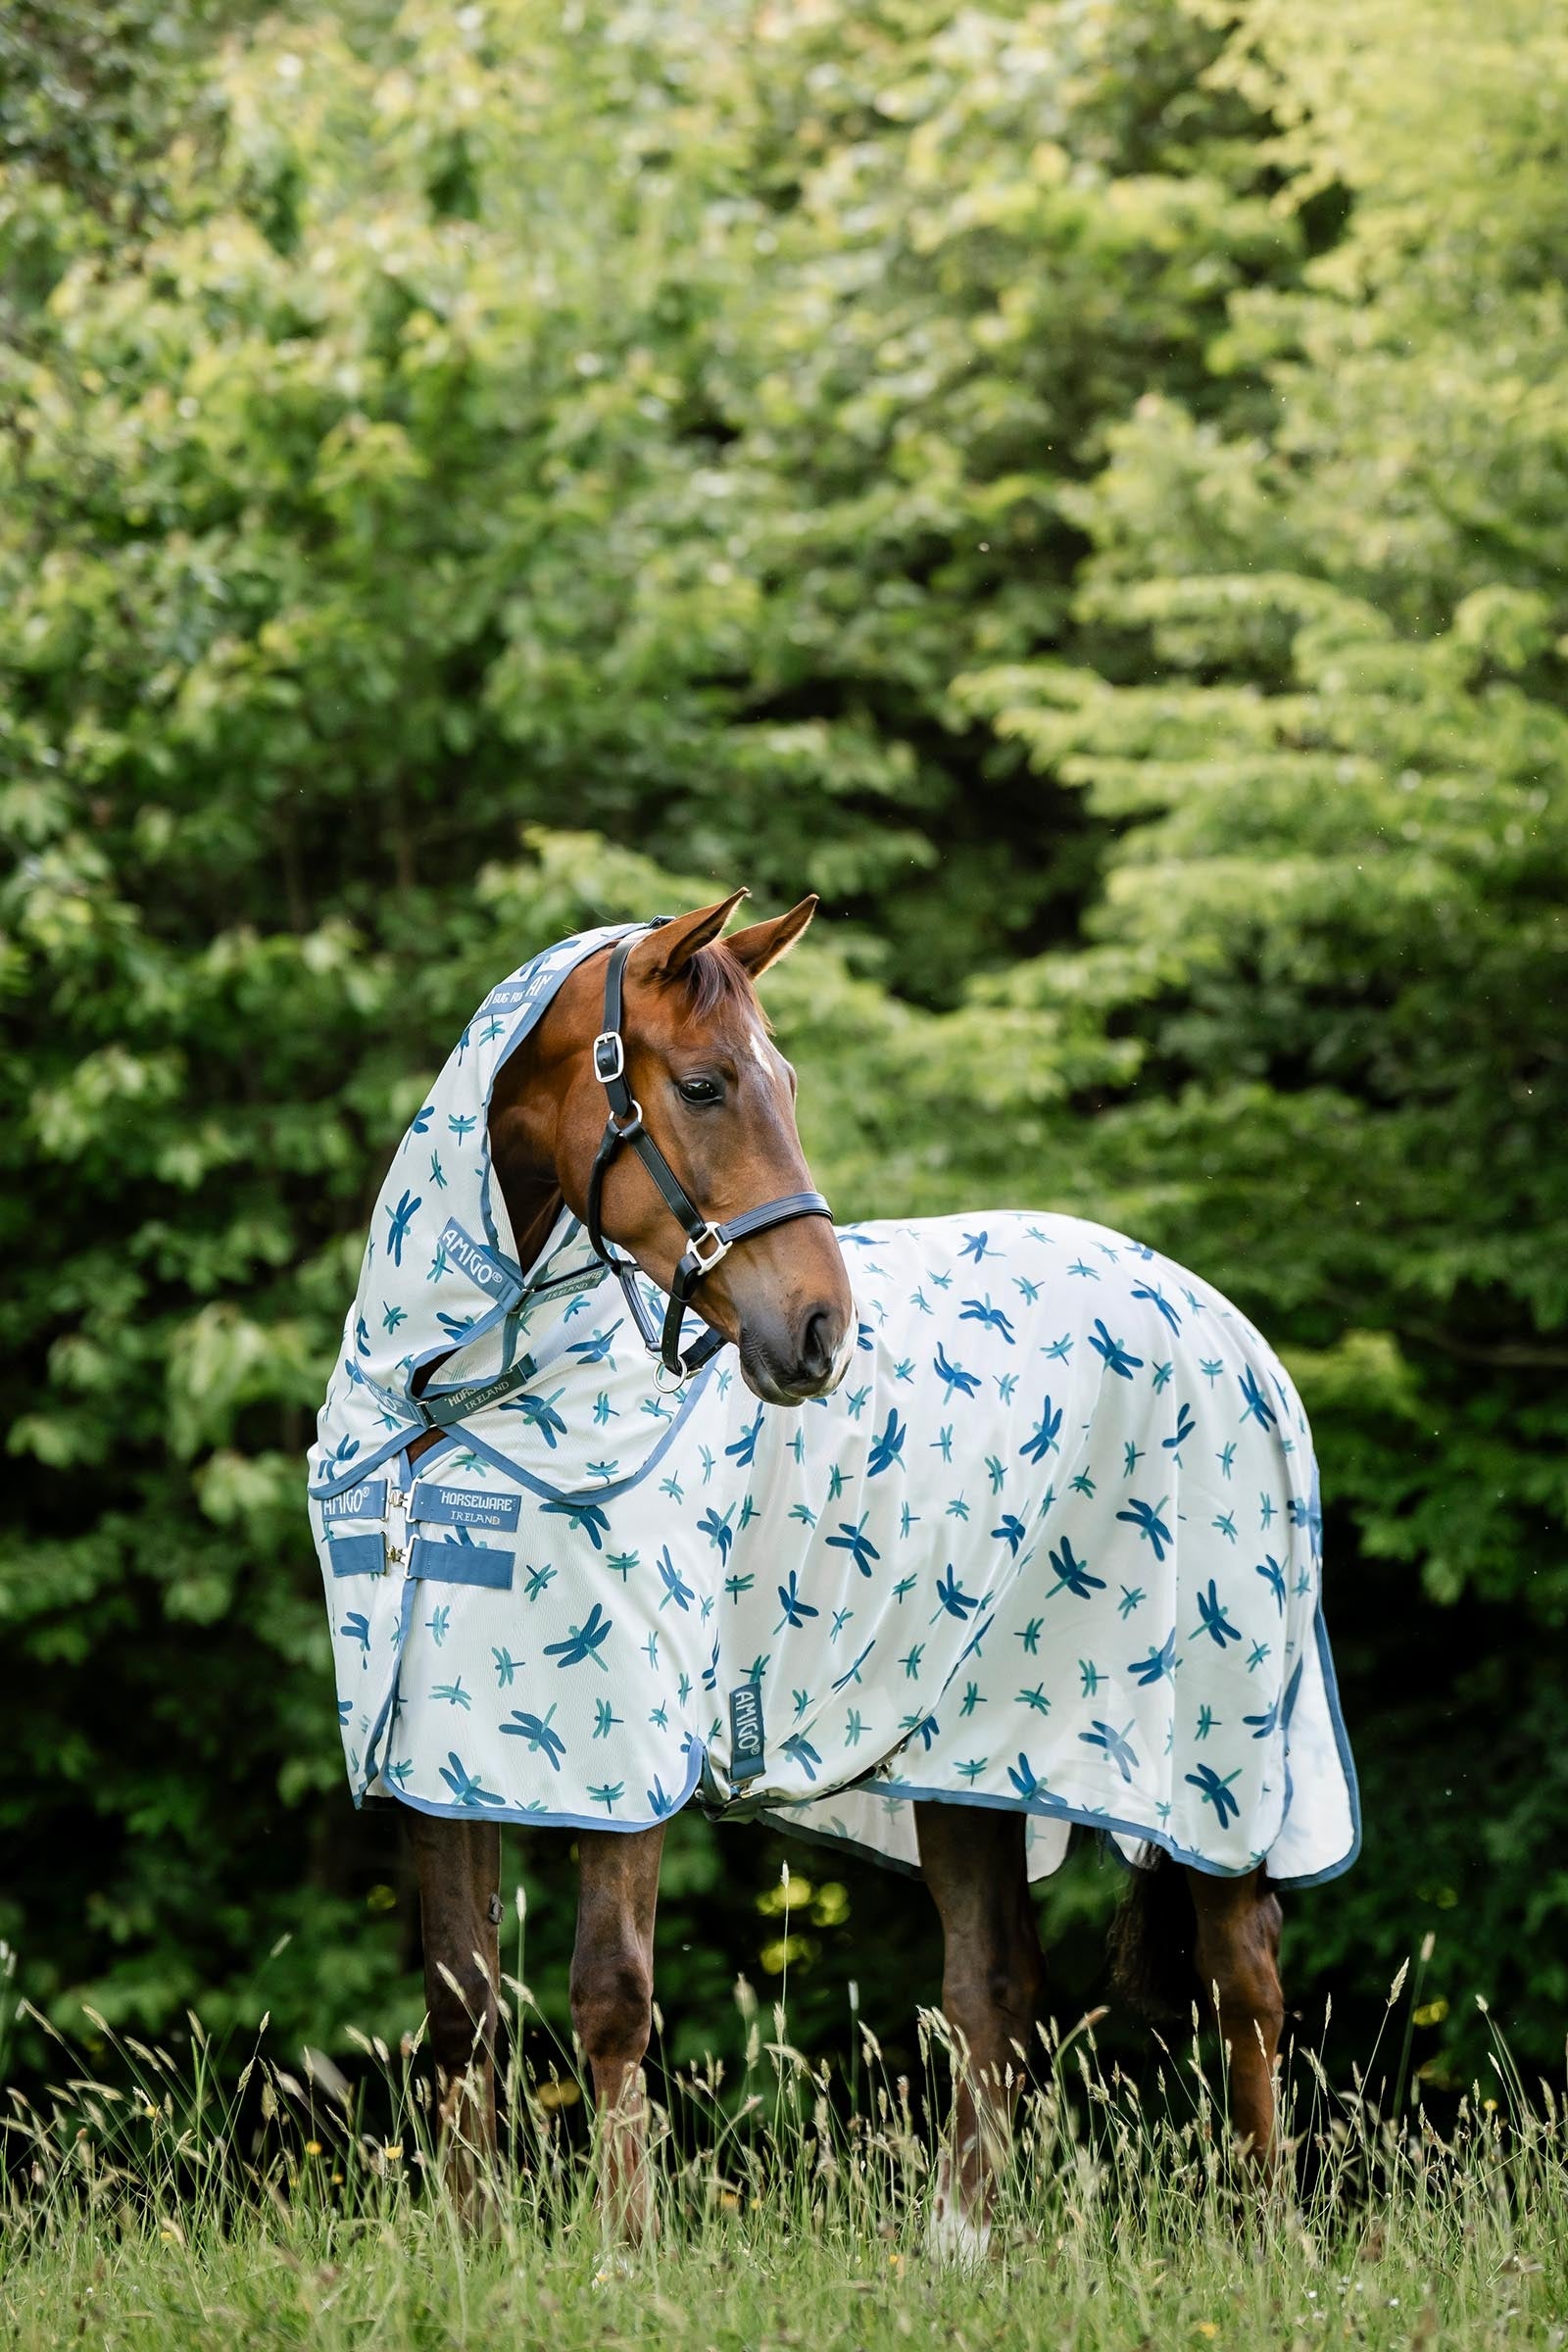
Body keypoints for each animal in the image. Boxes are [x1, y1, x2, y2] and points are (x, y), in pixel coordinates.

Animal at [308, 891, 1358, 2242]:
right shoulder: (436, 1763)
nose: (817, 1332)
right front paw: (470, 2246)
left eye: (786, 1084)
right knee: (995, 1983)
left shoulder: (627, 1758)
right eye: (704, 1085)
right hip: (971, 1753)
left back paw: (1265, 2233)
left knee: (1244, 1980)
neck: (451, 1411)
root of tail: (1221, 1324)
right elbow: (462, 2008)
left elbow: (610, 1997)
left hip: (1211, 1771)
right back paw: (956, 2248)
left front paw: (622, 2253)